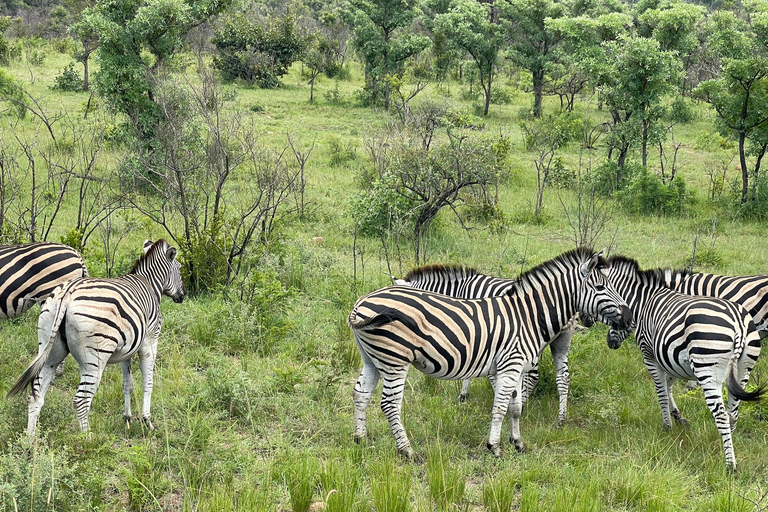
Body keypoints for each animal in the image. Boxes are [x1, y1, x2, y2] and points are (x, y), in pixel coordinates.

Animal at [7, 240, 184, 436]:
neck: (150, 285)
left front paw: (127, 419)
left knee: (36, 396)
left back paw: (30, 440)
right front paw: (148, 422)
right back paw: (88, 439)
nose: (182, 296)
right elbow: (148, 383)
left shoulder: (128, 349)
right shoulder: (150, 341)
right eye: (180, 269)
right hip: (95, 358)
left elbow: (128, 384)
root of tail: (67, 293)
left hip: (49, 349)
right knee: (81, 400)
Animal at [392, 264, 580, 424]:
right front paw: (465, 395)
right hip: (562, 340)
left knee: (533, 377)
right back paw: (561, 419)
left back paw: (522, 406)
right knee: (563, 377)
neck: (459, 292)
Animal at [596, 258, 764, 470]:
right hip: (743, 369)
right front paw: (678, 417)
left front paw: (667, 426)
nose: (610, 343)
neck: (643, 302)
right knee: (732, 413)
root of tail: (738, 324)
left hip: (708, 369)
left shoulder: (650, 354)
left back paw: (729, 465)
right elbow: (668, 387)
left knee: (721, 414)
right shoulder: (671, 357)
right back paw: (725, 445)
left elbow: (660, 392)